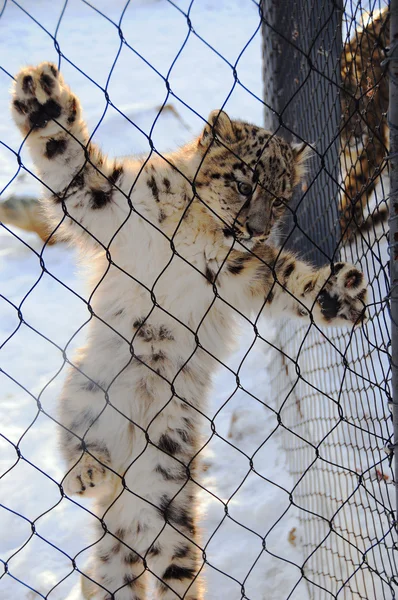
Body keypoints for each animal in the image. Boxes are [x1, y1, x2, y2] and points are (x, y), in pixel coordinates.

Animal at [10, 63, 370, 596]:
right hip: (84, 399)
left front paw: (336, 294)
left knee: (166, 567)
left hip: (169, 489)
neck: (201, 233)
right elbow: (72, 165)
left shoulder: (249, 271)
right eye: (243, 183)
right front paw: (43, 99)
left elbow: (289, 280)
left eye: (281, 197)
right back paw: (89, 473)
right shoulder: (109, 202)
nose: (256, 228)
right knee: (79, 453)